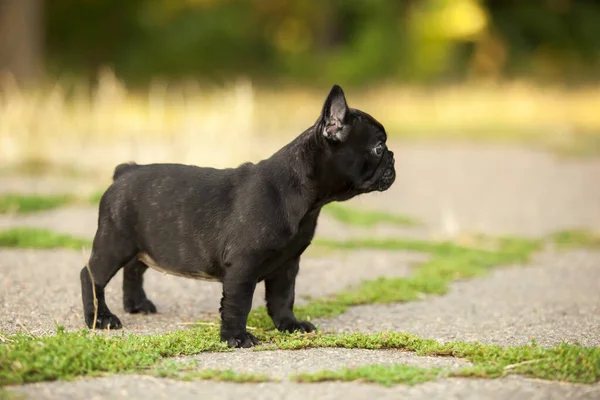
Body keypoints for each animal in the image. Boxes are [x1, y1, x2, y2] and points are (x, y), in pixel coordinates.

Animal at [82, 84, 396, 346]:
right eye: (378, 147)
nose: (393, 158)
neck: (303, 195)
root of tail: (126, 170)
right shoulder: (243, 267)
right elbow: (238, 303)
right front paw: (236, 338)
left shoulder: (287, 264)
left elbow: (283, 298)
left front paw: (289, 325)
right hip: (115, 243)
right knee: (92, 275)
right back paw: (100, 319)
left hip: (145, 244)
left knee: (133, 269)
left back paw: (137, 304)